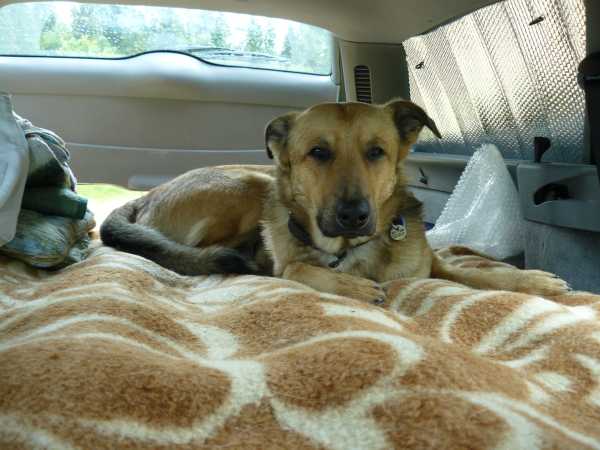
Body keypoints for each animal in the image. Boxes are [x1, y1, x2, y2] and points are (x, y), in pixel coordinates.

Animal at [100, 99, 568, 304]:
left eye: (377, 151)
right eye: (318, 152)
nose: (353, 215)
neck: (353, 249)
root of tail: (146, 198)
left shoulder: (432, 266)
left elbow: (481, 275)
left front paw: (533, 282)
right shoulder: (290, 260)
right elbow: (300, 268)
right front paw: (349, 286)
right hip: (248, 187)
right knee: (200, 253)